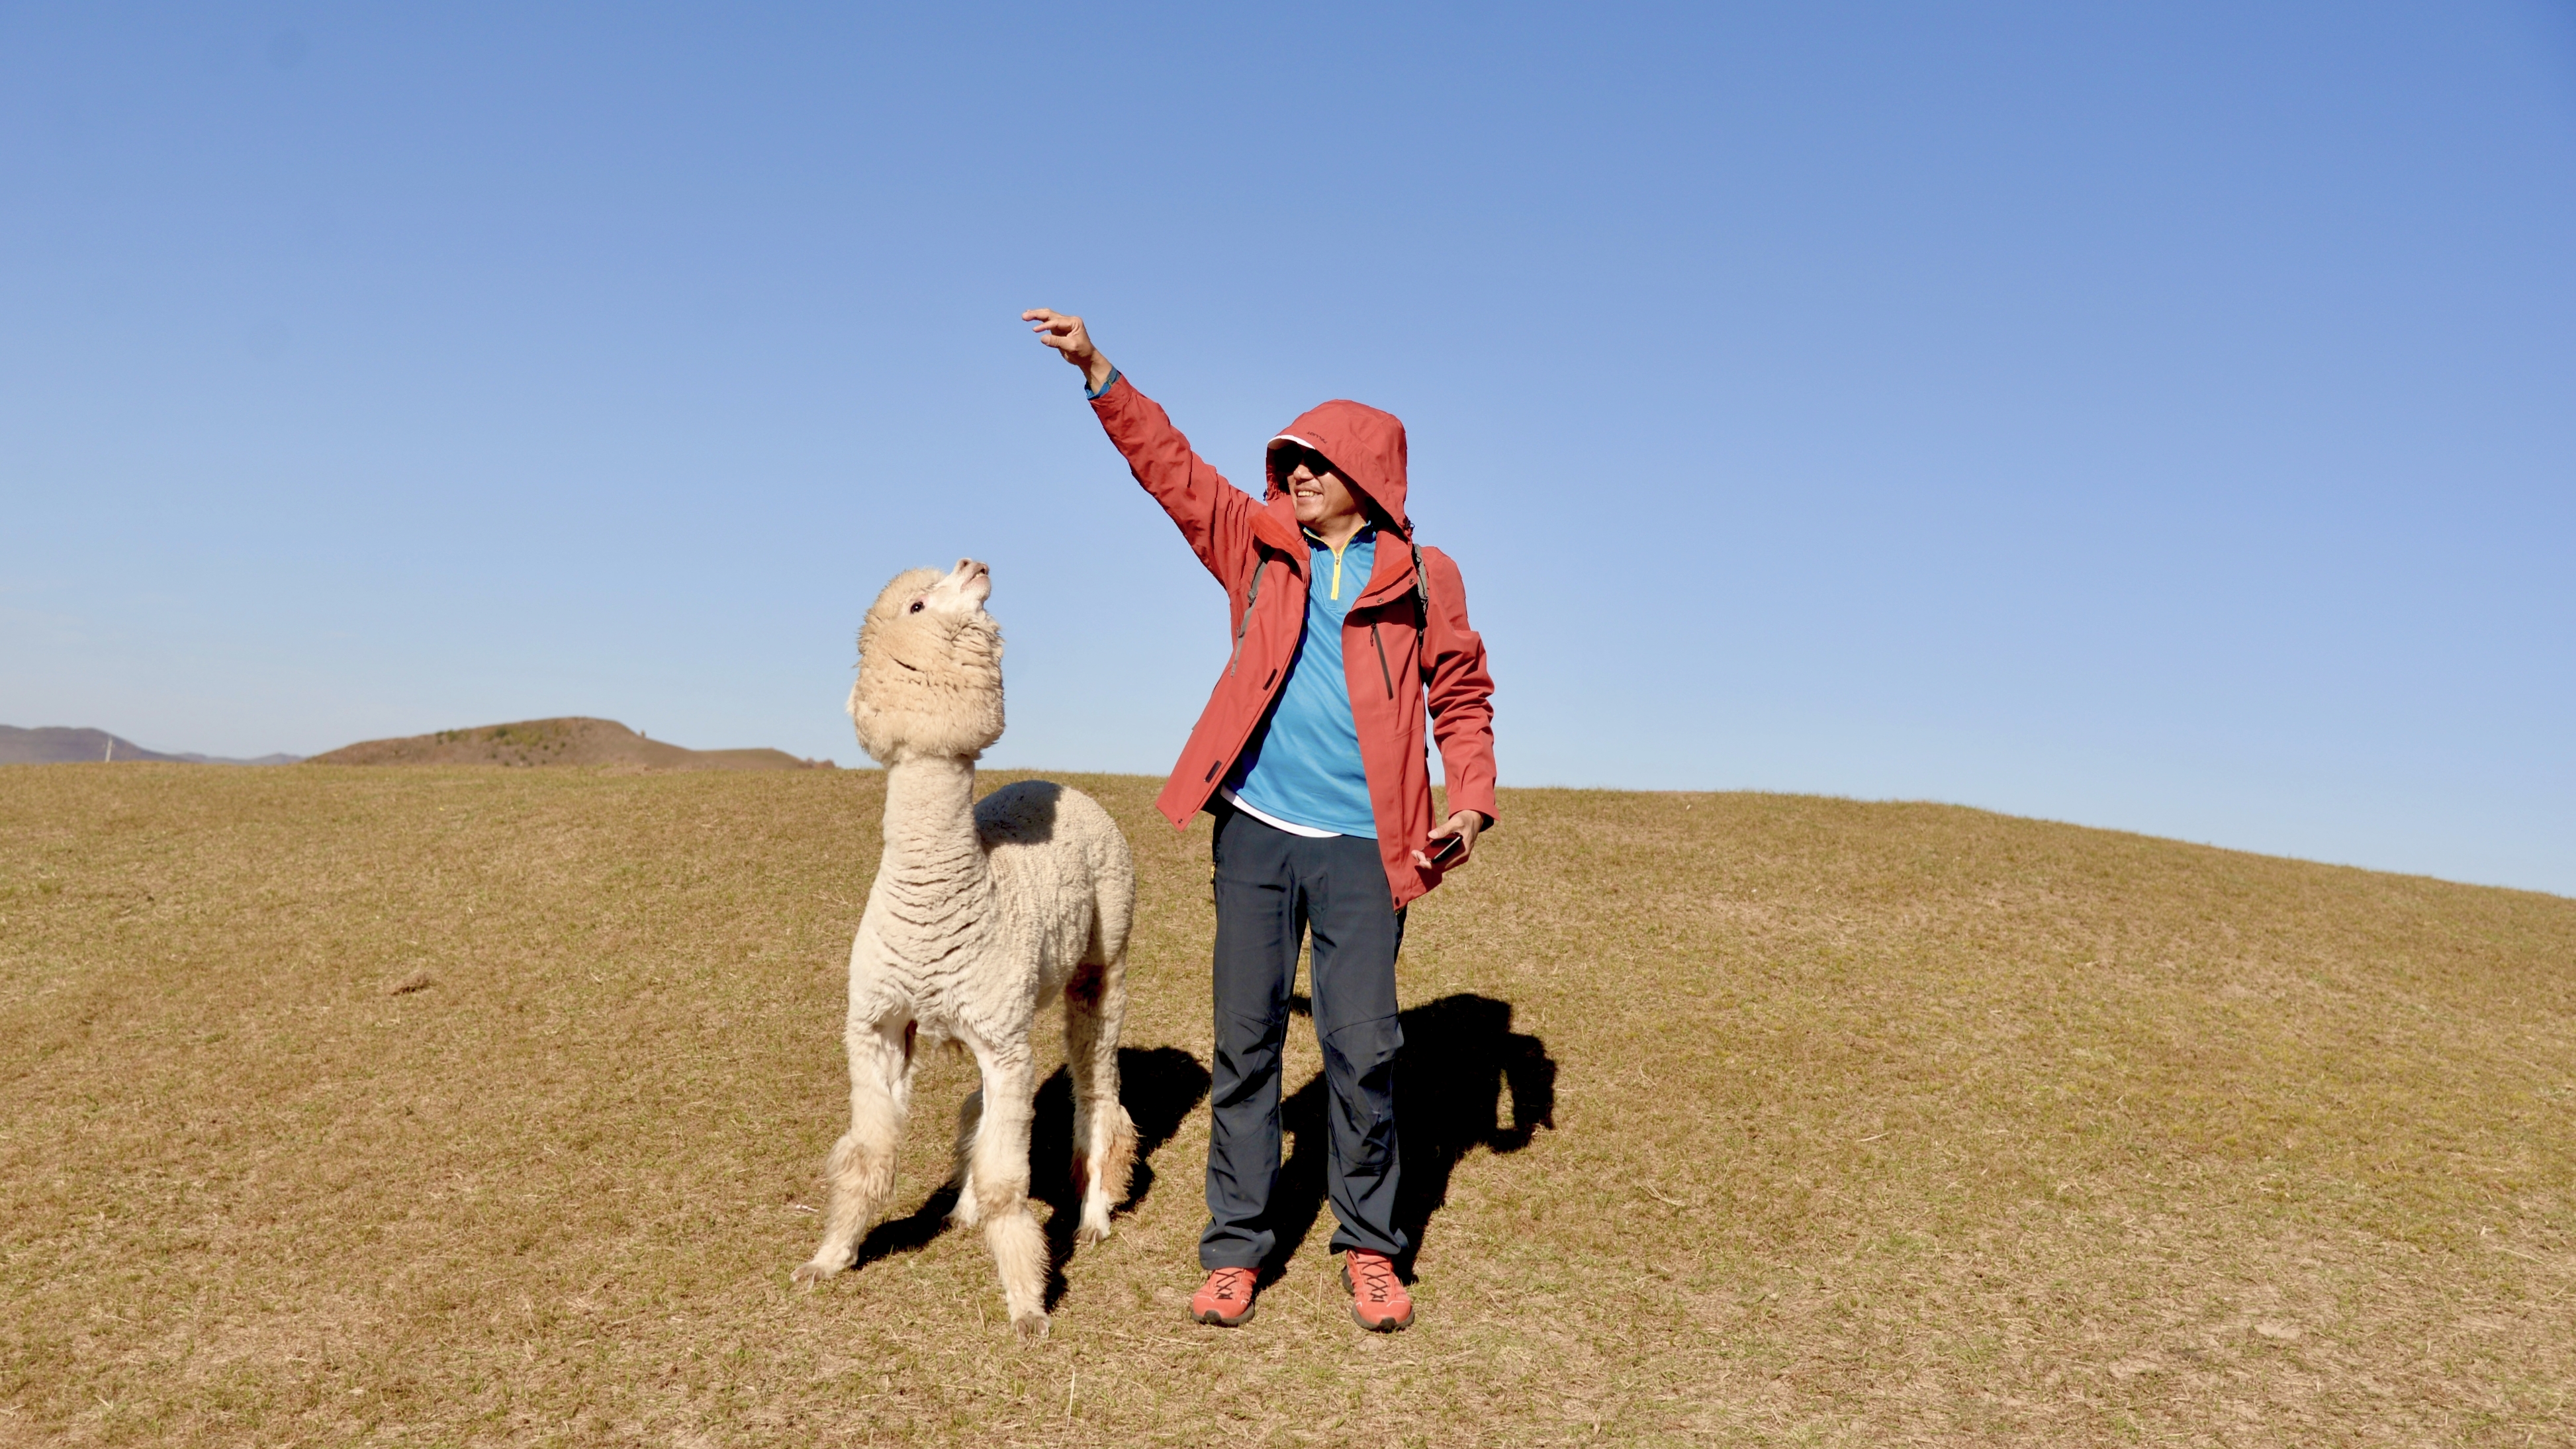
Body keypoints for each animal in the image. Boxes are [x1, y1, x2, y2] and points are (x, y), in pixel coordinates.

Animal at [791, 558, 1138, 1339]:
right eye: (918, 601)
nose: (976, 564)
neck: (939, 903)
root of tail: (1062, 785)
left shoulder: (1004, 1037)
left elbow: (1012, 1183)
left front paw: (1028, 1304)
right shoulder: (880, 1023)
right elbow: (868, 1153)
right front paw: (828, 1258)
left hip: (1104, 956)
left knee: (1097, 1085)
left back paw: (1095, 1214)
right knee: (984, 1107)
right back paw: (963, 1207)